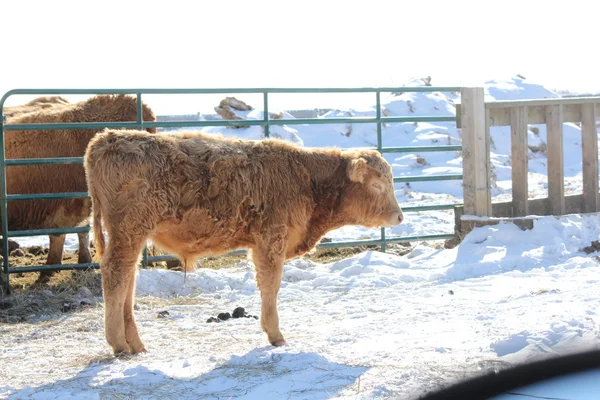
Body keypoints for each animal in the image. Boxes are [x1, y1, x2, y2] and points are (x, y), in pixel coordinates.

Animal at [84, 128, 404, 354]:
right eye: (377, 184)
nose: (400, 216)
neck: (305, 177)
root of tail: (107, 138)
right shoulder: (270, 240)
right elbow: (271, 286)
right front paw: (276, 335)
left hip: (132, 236)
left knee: (128, 278)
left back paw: (136, 344)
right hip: (128, 232)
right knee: (115, 274)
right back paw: (118, 343)